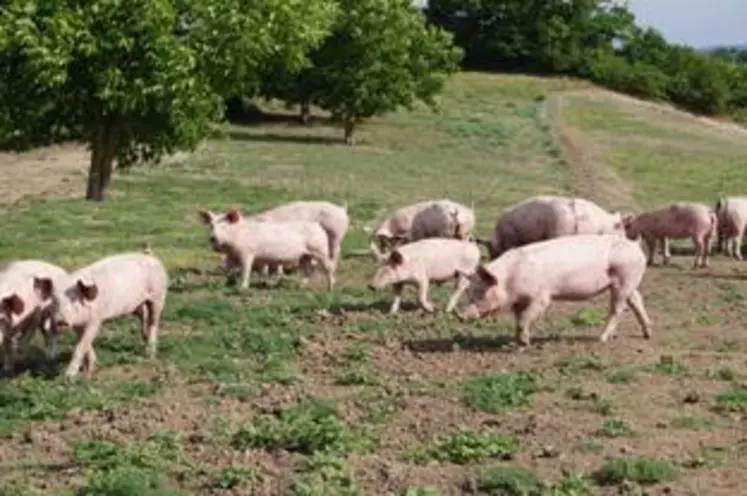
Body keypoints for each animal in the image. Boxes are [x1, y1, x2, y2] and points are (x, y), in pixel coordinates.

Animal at [34, 252, 168, 380]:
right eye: (54, 301)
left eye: (74, 300)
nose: (61, 321)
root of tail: (154, 259)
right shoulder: (78, 325)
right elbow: (85, 344)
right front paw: (91, 368)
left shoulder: (95, 320)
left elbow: (80, 347)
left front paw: (69, 376)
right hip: (136, 305)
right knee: (143, 315)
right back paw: (145, 338)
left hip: (158, 296)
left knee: (153, 322)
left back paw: (150, 354)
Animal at [197, 208, 334, 290]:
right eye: (211, 226)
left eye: (224, 226)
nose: (213, 238)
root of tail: (318, 226)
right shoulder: (231, 256)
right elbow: (229, 270)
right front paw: (227, 284)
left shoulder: (247, 252)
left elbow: (245, 270)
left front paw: (242, 288)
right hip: (305, 255)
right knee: (307, 270)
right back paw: (300, 286)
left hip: (320, 250)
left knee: (329, 267)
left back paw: (330, 288)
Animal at [458, 234, 652, 346]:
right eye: (469, 293)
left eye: (480, 292)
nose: (461, 316)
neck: (509, 280)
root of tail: (635, 246)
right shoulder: (519, 301)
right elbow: (519, 319)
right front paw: (517, 340)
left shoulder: (541, 297)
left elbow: (525, 318)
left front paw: (525, 342)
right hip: (629, 281)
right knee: (636, 300)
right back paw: (647, 334)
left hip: (624, 279)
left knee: (617, 308)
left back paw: (602, 339)